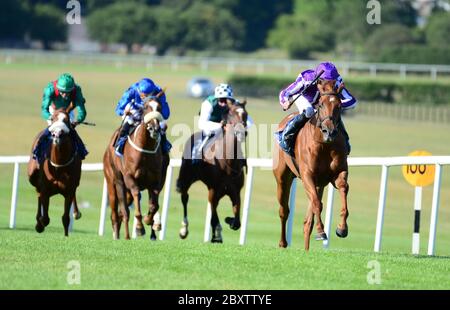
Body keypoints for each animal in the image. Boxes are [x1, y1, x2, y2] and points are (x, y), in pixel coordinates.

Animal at [103, 99, 170, 240]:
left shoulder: (155, 181)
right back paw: (121, 236)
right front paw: (139, 227)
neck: (145, 149)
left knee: (121, 213)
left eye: (159, 108)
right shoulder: (130, 178)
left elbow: (154, 205)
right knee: (118, 213)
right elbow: (137, 195)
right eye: (145, 107)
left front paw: (149, 221)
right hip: (114, 183)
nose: (154, 128)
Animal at [176, 100, 248, 243]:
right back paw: (184, 229)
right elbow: (214, 212)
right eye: (231, 114)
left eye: (246, 114)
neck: (228, 162)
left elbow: (236, 221)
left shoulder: (235, 191)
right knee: (185, 197)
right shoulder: (214, 189)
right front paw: (218, 234)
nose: (241, 132)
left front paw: (229, 220)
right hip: (186, 178)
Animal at [272, 80, 350, 249]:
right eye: (320, 104)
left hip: (320, 183)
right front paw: (321, 232)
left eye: (339, 105)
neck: (325, 145)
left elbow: (343, 188)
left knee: (307, 222)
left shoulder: (338, 173)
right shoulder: (307, 175)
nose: (330, 131)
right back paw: (282, 243)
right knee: (284, 210)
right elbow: (316, 204)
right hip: (282, 178)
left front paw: (342, 228)